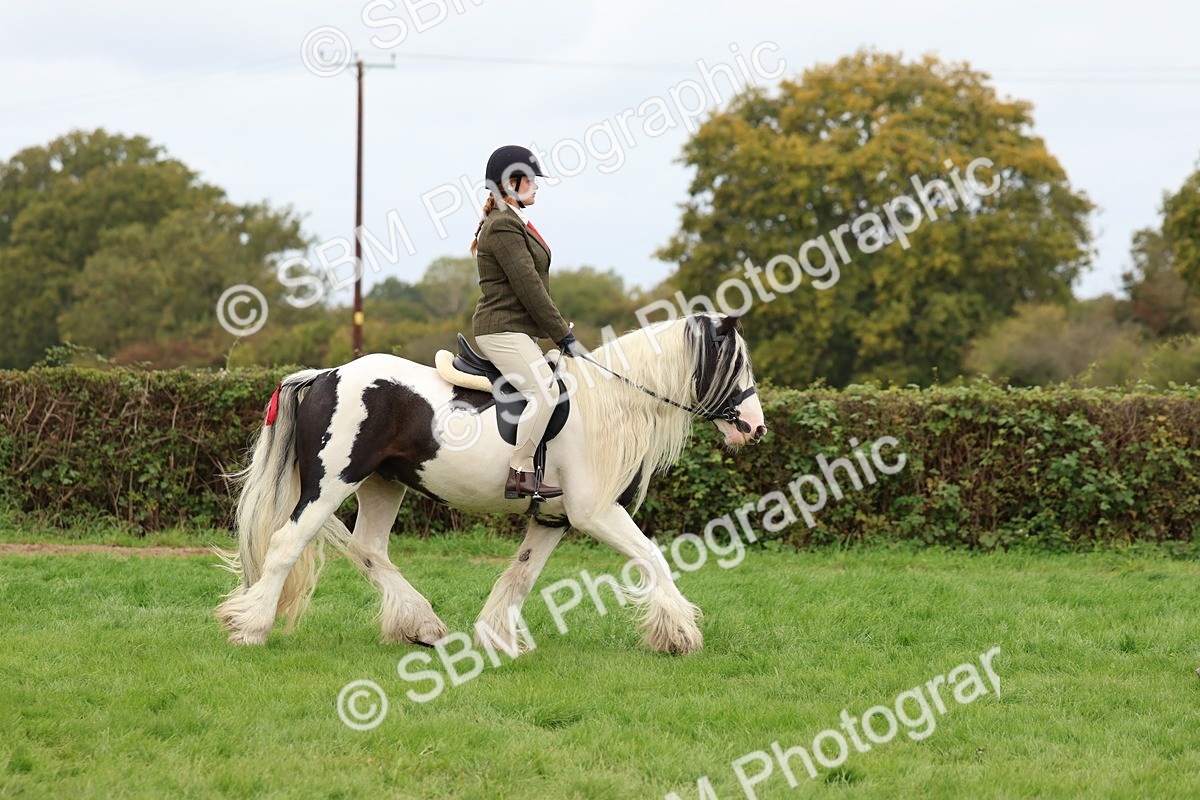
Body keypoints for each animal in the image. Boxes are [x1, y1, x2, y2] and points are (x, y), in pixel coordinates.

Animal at [215, 312, 767, 655]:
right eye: (737, 362)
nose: (756, 428)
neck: (611, 402)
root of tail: (326, 374)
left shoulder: (553, 519)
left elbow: (520, 576)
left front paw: (495, 637)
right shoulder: (596, 513)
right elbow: (653, 558)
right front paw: (680, 635)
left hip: (382, 485)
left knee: (368, 548)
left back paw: (421, 625)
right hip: (332, 482)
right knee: (287, 545)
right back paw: (251, 628)